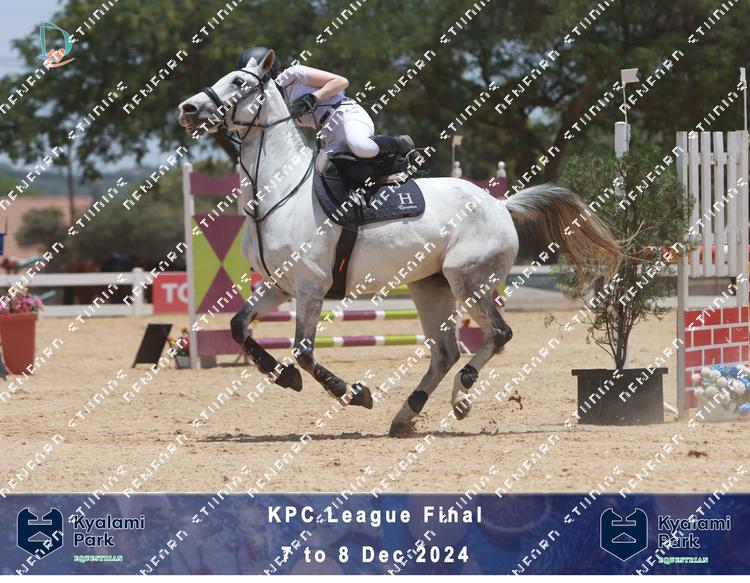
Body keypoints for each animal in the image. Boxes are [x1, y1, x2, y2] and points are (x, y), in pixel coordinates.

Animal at [177, 50, 621, 436]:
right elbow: (239, 326)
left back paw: (461, 396)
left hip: (466, 280)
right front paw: (283, 376)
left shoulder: (309, 287)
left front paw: (353, 394)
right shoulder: (280, 286)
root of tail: (499, 203)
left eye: (238, 82)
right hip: (429, 286)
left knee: (497, 334)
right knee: (445, 352)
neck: (278, 193)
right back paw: (407, 413)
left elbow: (303, 351)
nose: (187, 109)